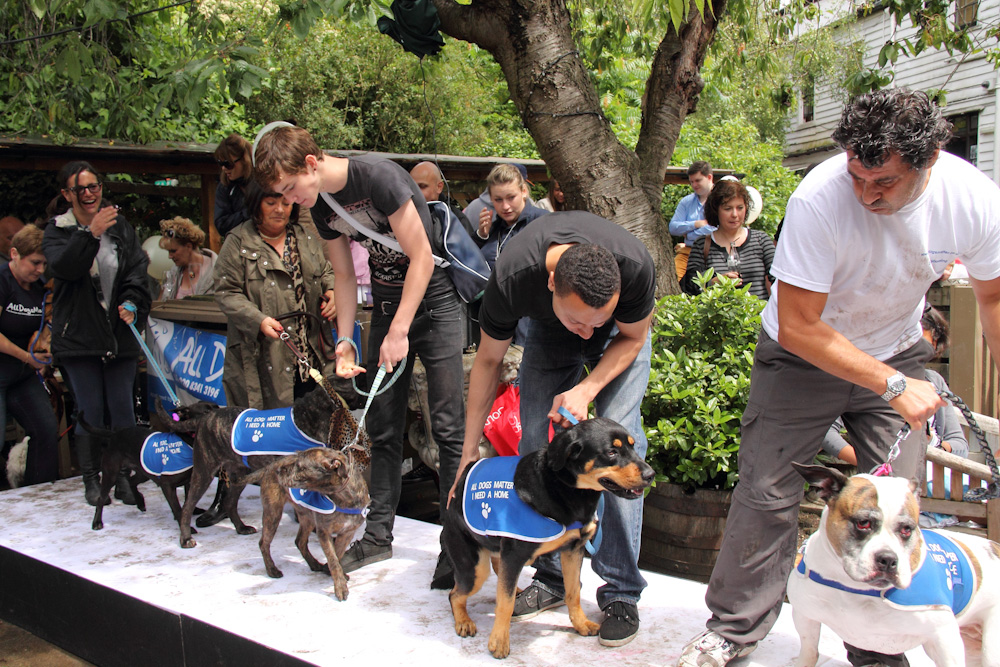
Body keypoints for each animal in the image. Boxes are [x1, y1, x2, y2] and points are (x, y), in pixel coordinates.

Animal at [80, 402, 221, 532]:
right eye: (206, 412)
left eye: (218, 408)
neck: (186, 441)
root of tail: (115, 434)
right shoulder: (167, 486)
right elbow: (177, 508)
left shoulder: (190, 480)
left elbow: (187, 499)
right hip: (111, 473)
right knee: (101, 499)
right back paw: (97, 522)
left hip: (144, 471)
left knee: (132, 481)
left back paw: (140, 502)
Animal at [158, 384, 370, 552]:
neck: (309, 415)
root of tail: (204, 420)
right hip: (204, 470)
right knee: (187, 506)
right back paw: (186, 538)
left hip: (239, 473)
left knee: (229, 502)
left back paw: (241, 528)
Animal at [244, 448, 370, 600]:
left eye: (300, 466)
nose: (278, 471)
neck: (343, 497)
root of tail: (271, 465)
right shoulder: (323, 532)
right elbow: (333, 560)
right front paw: (340, 587)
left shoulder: (347, 532)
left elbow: (337, 555)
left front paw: (332, 573)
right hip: (273, 512)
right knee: (264, 543)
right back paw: (271, 569)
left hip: (307, 517)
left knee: (300, 541)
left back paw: (313, 563)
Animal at [442, 420, 652, 660]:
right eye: (611, 452)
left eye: (633, 447)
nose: (651, 474)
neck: (564, 488)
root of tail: (457, 488)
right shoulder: (514, 556)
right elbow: (505, 603)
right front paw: (499, 642)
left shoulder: (573, 550)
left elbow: (573, 592)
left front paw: (580, 624)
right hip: (474, 569)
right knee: (455, 594)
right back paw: (464, 621)